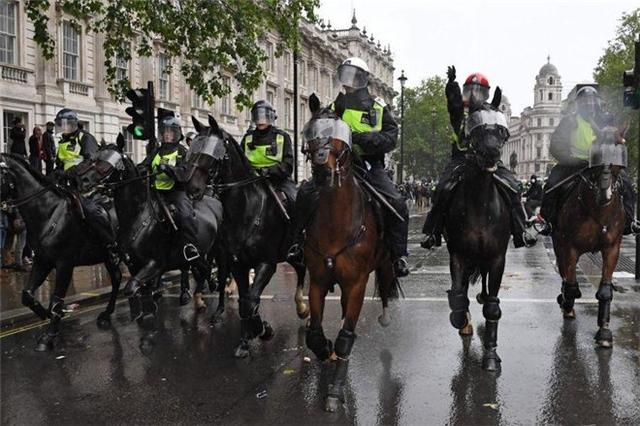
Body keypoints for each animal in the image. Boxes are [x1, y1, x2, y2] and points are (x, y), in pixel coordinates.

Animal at [0, 153, 122, 350]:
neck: (49, 215)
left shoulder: (65, 263)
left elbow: (56, 300)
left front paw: (49, 336)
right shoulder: (42, 260)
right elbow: (27, 295)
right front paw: (47, 316)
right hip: (108, 257)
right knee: (118, 278)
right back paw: (106, 314)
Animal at [186, 115, 308, 358]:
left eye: (212, 152)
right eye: (192, 149)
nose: (191, 188)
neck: (245, 210)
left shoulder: (266, 263)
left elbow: (250, 301)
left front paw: (263, 330)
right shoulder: (237, 264)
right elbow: (244, 301)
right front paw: (246, 339)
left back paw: (305, 309)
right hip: (288, 253)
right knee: (299, 268)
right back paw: (300, 306)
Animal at [302, 95, 400, 412]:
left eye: (340, 133)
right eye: (310, 131)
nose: (322, 170)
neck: (337, 221)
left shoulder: (357, 283)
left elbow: (346, 335)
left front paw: (335, 390)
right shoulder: (319, 279)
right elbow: (314, 332)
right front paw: (326, 351)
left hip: (385, 265)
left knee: (384, 288)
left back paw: (384, 316)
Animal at [442, 108, 512, 372]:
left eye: (501, 131)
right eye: (477, 130)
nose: (491, 152)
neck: (480, 206)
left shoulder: (497, 258)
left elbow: (493, 306)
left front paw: (491, 356)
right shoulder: (458, 255)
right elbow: (458, 295)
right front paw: (460, 319)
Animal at [552, 122, 628, 346]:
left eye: (620, 151)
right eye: (595, 152)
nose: (605, 195)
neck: (598, 212)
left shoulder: (612, 247)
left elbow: (605, 290)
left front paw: (604, 331)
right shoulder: (569, 247)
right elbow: (570, 284)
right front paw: (567, 304)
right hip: (558, 244)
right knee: (565, 274)